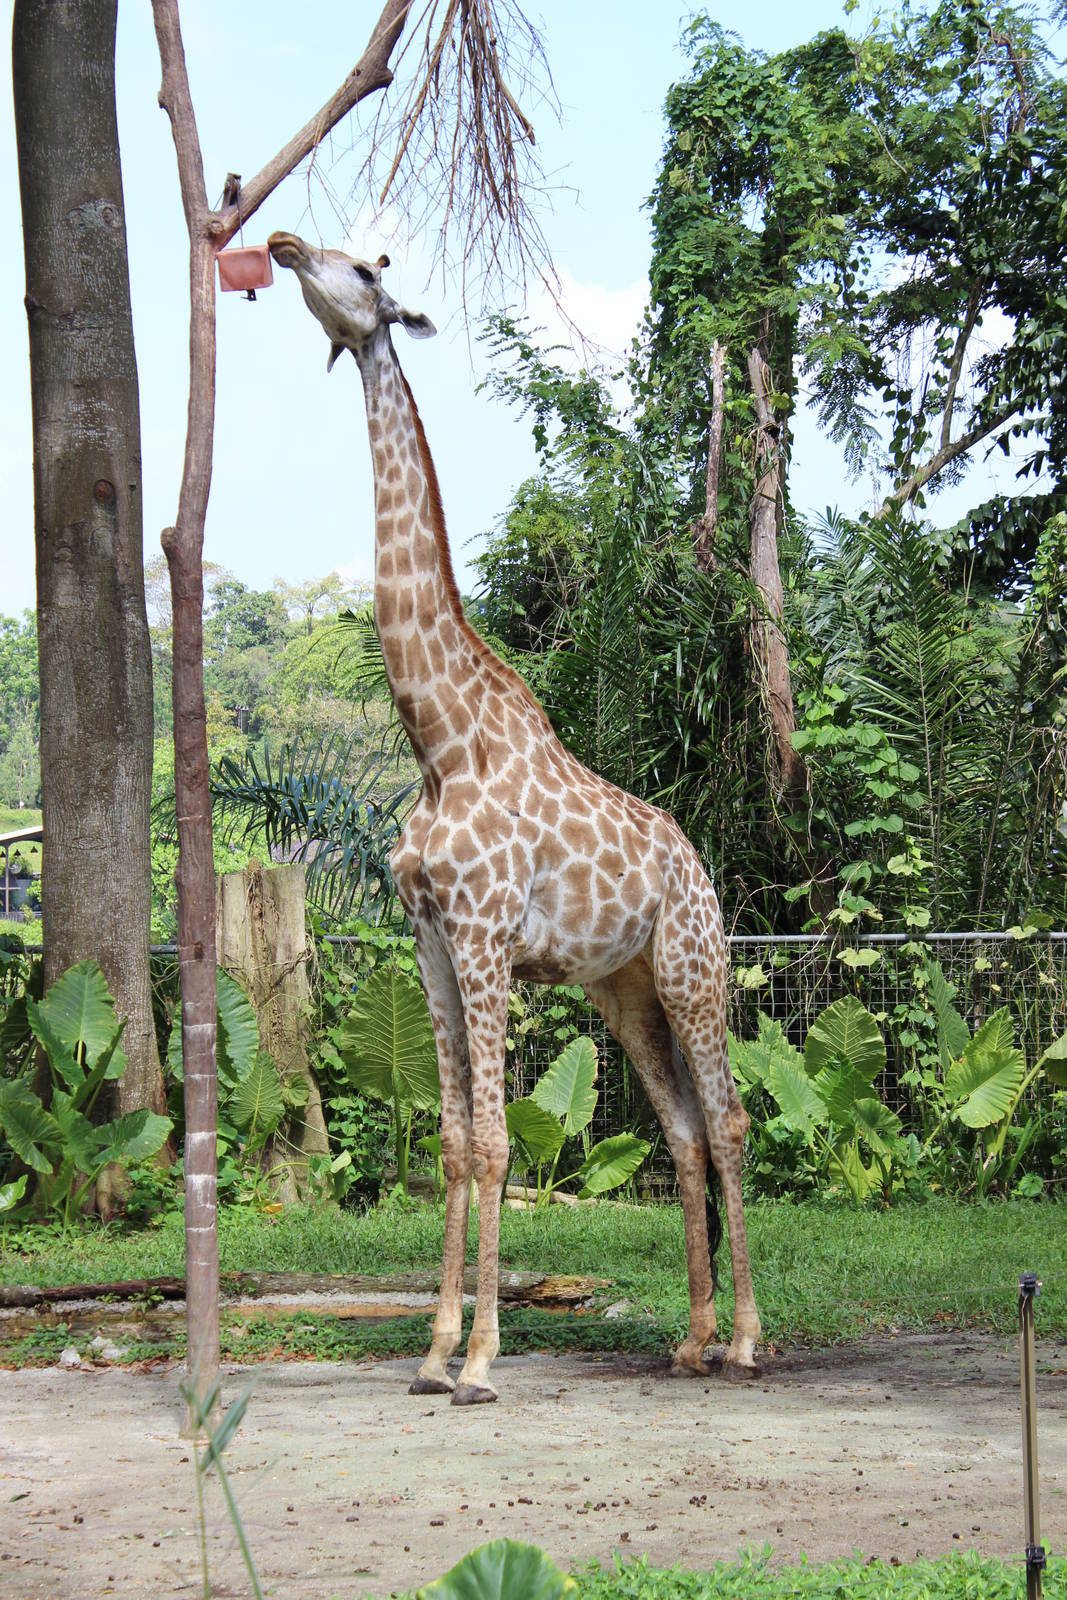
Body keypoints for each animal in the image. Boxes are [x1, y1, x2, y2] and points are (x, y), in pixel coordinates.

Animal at [268, 232, 761, 1405]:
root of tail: (695, 862)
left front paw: (483, 1359)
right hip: (623, 988)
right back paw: (689, 1339)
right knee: (680, 1128)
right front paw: (431, 1350)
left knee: (726, 1119)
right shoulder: (432, 939)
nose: (280, 243)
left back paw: (745, 1339)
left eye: (365, 270)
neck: (439, 742)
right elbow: (453, 1141)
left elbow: (495, 1142)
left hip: (692, 964)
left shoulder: (487, 934)